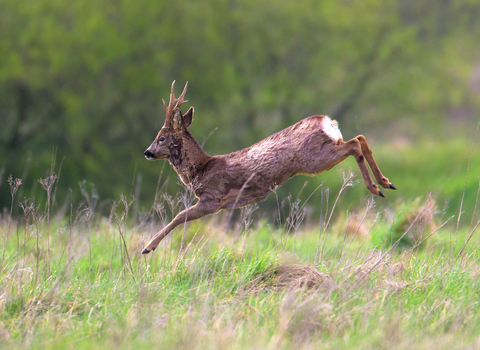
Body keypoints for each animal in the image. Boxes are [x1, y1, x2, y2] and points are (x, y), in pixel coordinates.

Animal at [141, 80, 396, 253]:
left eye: (161, 138)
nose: (147, 152)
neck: (200, 169)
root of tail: (326, 121)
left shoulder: (212, 199)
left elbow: (179, 216)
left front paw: (147, 247)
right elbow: (180, 216)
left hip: (314, 158)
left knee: (355, 144)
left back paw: (375, 187)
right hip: (324, 151)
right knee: (360, 138)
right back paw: (386, 183)